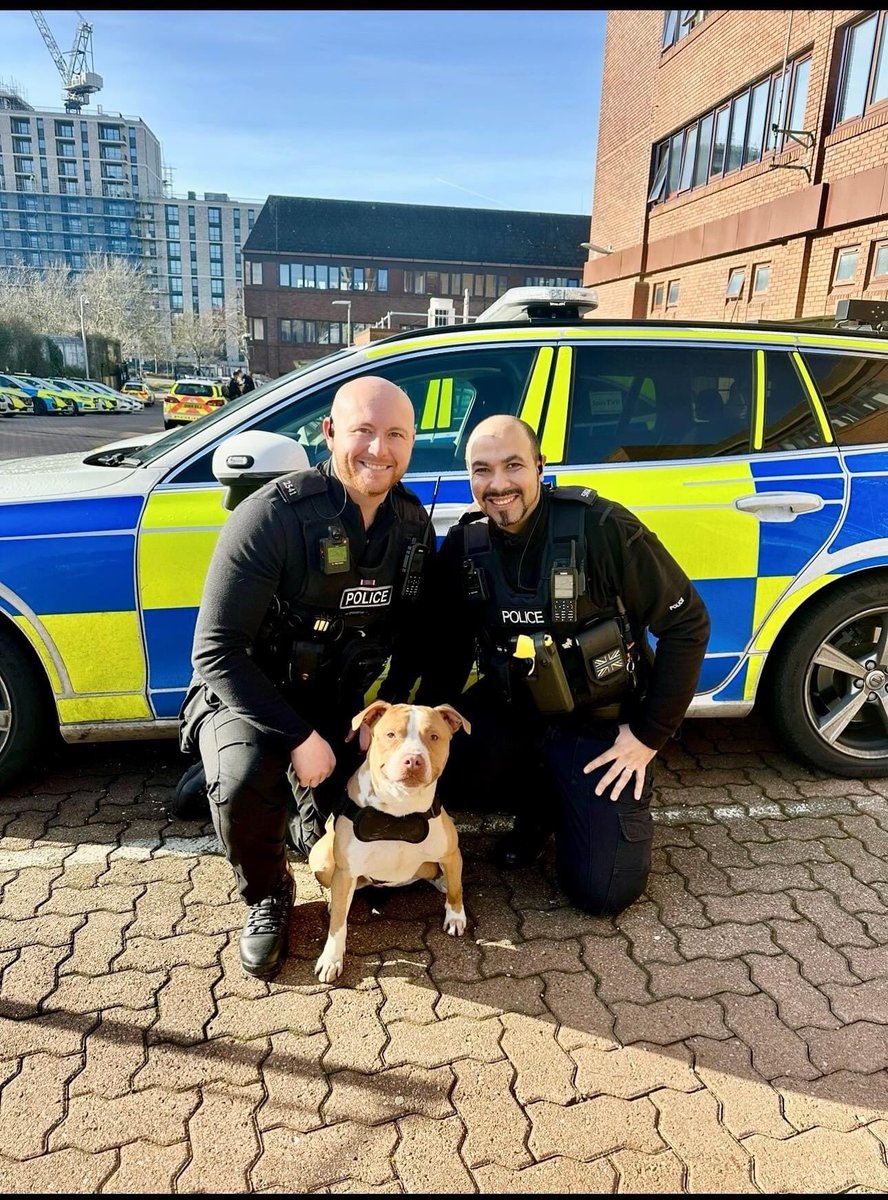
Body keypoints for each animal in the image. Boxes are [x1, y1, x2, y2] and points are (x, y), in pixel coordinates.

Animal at [309, 700, 468, 984]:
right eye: (391, 734)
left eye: (433, 737)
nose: (413, 760)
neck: (399, 808)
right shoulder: (346, 870)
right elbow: (338, 924)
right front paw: (331, 959)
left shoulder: (451, 853)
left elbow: (457, 888)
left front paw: (456, 915)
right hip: (322, 858)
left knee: (436, 874)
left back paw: (441, 881)